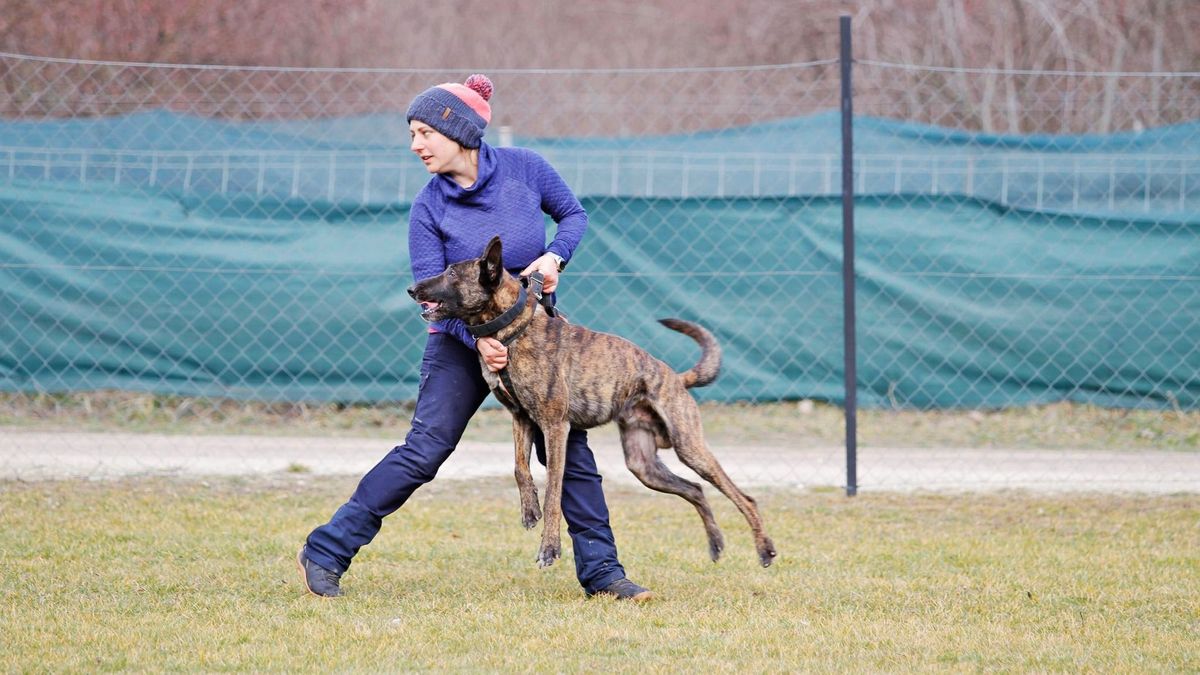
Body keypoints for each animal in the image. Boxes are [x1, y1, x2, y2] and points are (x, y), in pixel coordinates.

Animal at [405, 236, 777, 566]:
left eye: (453, 273)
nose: (411, 289)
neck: (512, 331)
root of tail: (674, 377)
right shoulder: (520, 418)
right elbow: (519, 467)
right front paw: (529, 509)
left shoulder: (555, 428)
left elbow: (554, 494)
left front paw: (549, 548)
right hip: (644, 466)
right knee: (696, 490)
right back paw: (715, 543)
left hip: (690, 448)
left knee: (743, 497)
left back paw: (764, 548)